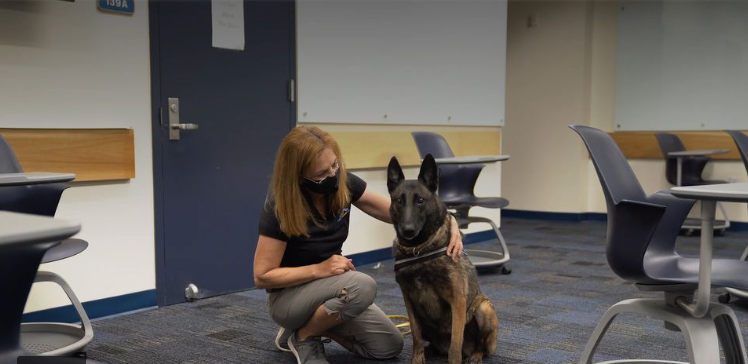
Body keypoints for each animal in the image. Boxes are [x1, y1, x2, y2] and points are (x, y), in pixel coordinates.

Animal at [388, 154, 500, 364]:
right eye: (399, 200)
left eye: (420, 200)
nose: (407, 230)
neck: (419, 251)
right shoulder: (408, 299)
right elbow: (415, 335)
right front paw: (417, 359)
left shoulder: (457, 299)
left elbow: (455, 345)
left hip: (483, 309)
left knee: (480, 347)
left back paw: (475, 356)